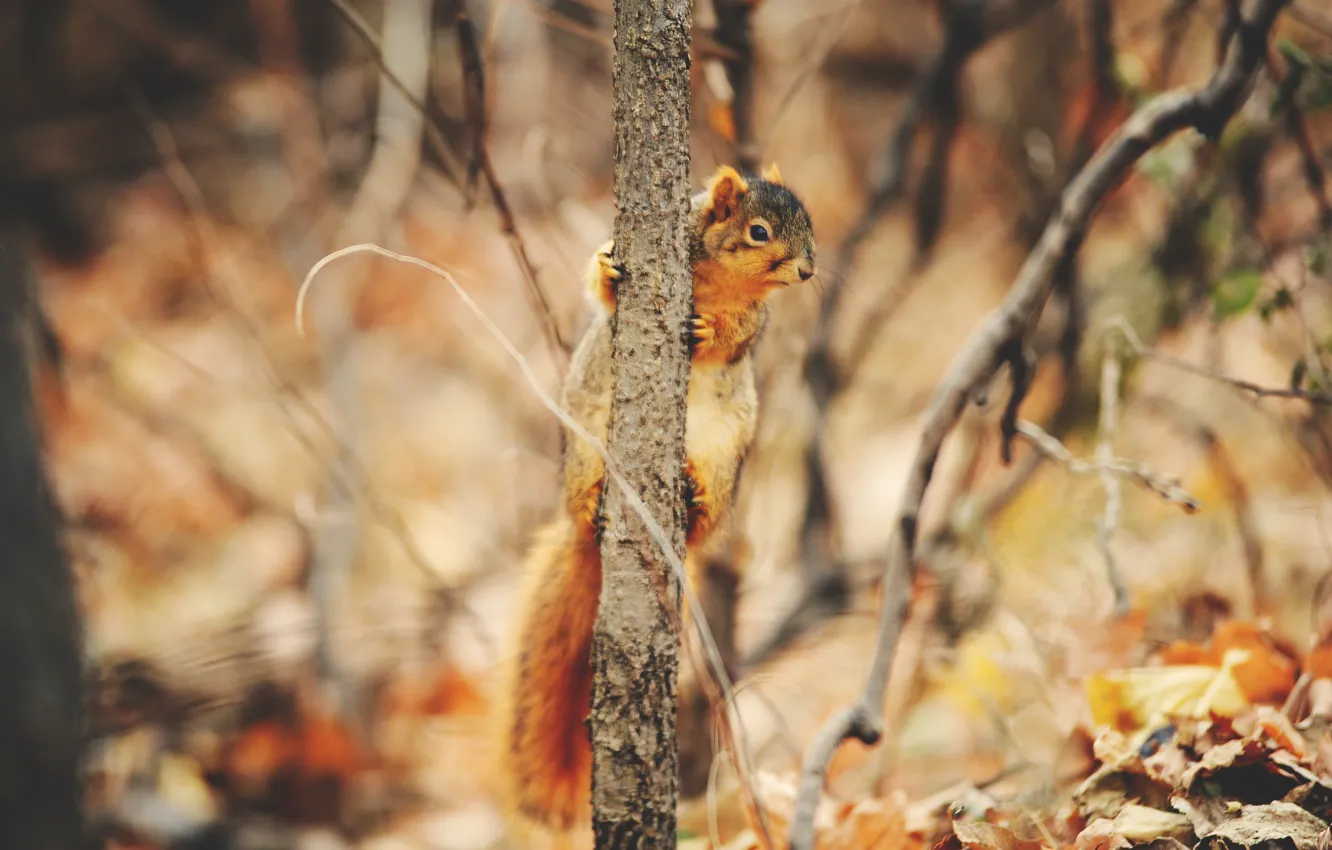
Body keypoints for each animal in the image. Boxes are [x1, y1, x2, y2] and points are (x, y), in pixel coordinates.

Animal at [498, 163, 809, 836]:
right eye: (760, 231)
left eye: (810, 225)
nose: (807, 271)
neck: (718, 277)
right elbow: (602, 292)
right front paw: (608, 267)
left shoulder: (756, 325)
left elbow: (736, 337)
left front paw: (710, 329)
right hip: (586, 442)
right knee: (581, 499)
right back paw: (592, 502)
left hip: (724, 458)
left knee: (705, 515)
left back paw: (693, 497)